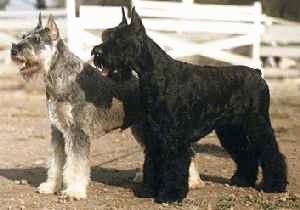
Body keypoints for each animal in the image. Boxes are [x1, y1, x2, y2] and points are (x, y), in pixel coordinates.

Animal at [11, 13, 204, 199]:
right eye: (23, 36)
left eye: (37, 39)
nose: (14, 49)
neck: (60, 78)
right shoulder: (58, 131)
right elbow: (56, 162)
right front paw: (50, 186)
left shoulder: (77, 131)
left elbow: (76, 165)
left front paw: (74, 191)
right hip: (141, 129)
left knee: (187, 152)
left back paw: (193, 181)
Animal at [91, 8, 286, 203]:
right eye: (106, 36)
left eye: (120, 38)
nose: (96, 52)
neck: (158, 75)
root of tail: (257, 73)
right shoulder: (154, 136)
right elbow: (152, 164)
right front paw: (148, 190)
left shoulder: (174, 138)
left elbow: (174, 167)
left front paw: (170, 195)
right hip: (231, 129)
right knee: (247, 153)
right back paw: (242, 180)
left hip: (257, 124)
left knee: (271, 153)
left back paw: (274, 185)